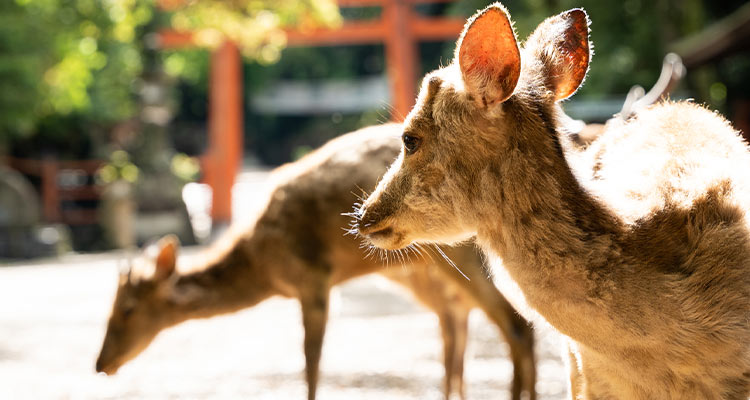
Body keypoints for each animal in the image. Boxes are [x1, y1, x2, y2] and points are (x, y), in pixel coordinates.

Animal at [95, 122, 540, 400]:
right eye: (110, 309)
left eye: (128, 309)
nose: (100, 364)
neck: (264, 267)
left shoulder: (313, 279)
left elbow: (311, 365)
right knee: (472, 327)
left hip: (459, 254)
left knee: (516, 323)